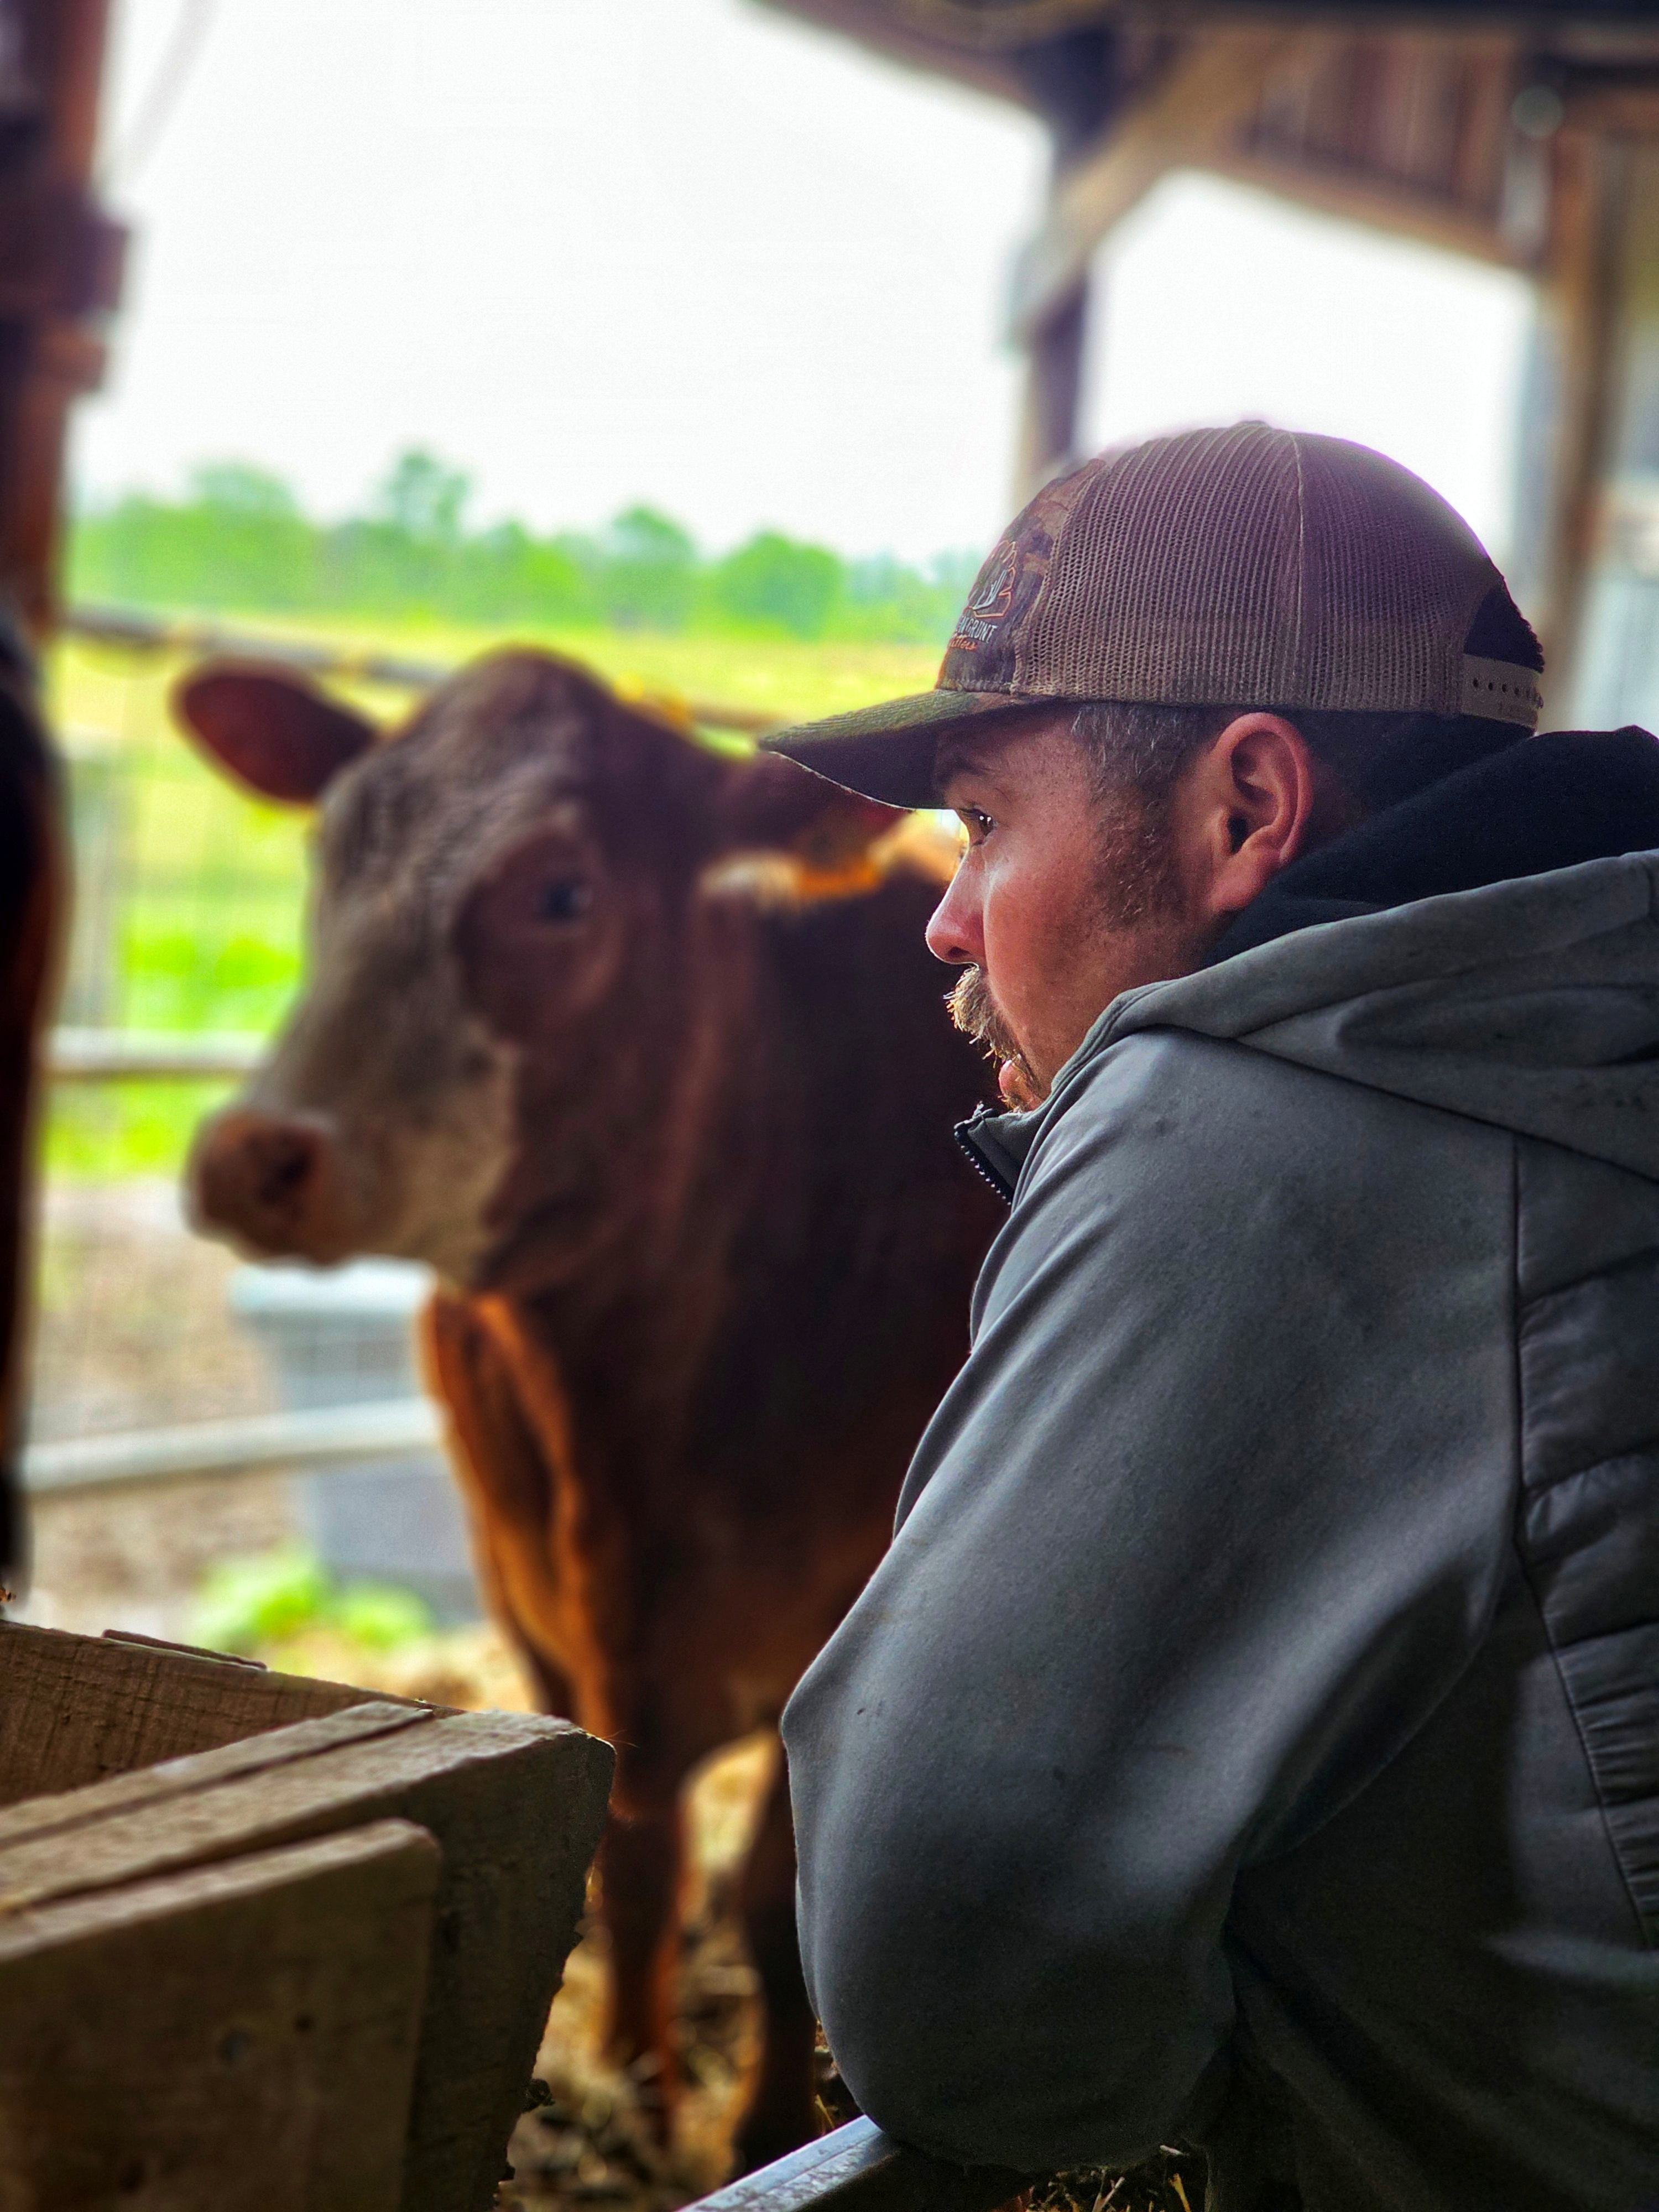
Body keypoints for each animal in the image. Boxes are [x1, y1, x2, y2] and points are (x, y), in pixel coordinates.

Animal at [172, 647, 1000, 2171]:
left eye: (563, 892)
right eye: (329, 853)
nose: (254, 1150)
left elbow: (767, 1888)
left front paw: (758, 2127)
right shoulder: (536, 1605)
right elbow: (623, 1848)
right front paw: (633, 2082)